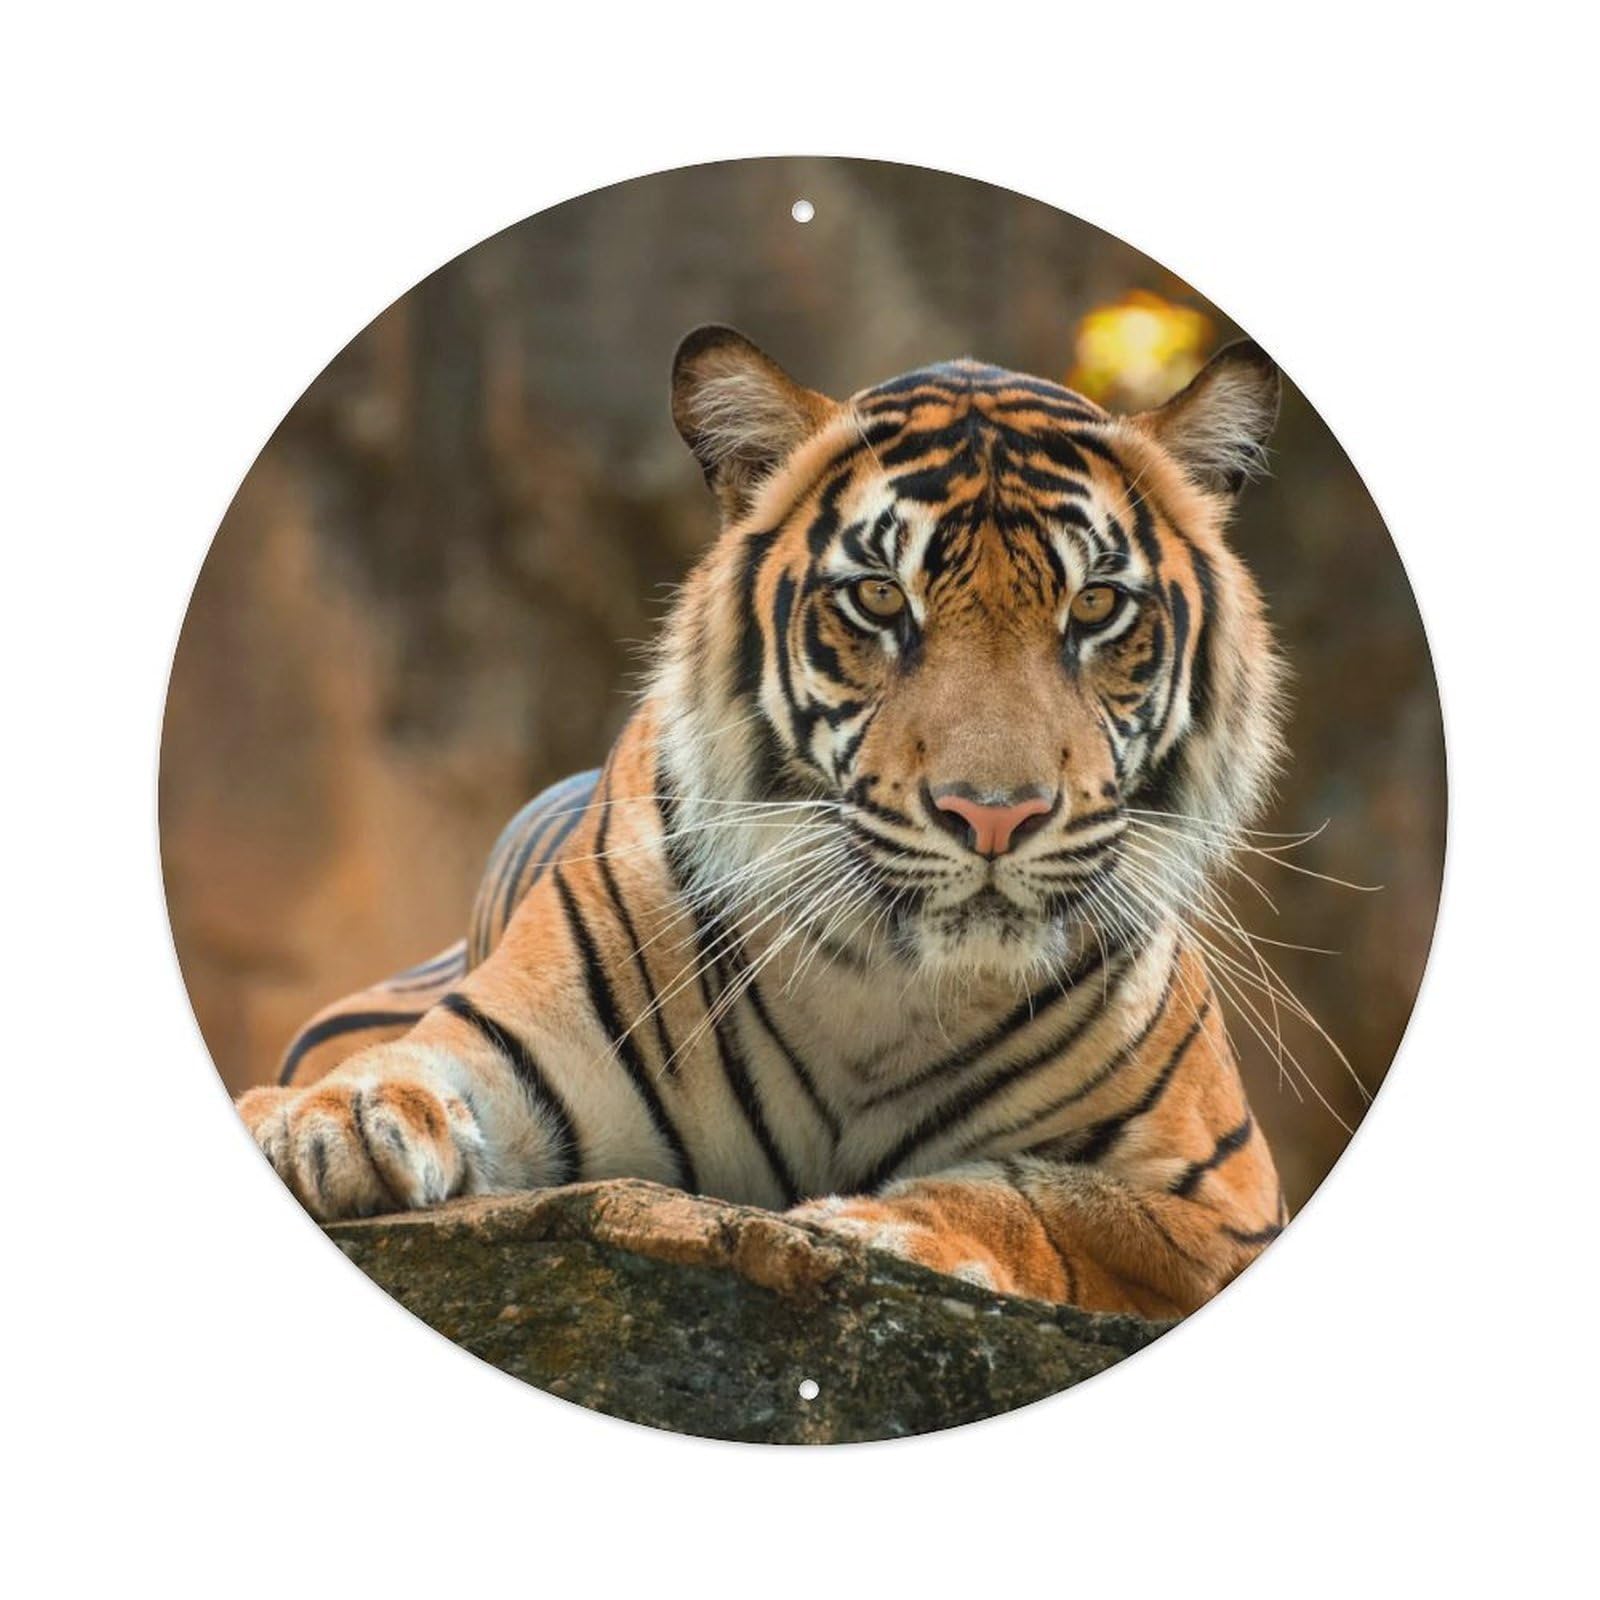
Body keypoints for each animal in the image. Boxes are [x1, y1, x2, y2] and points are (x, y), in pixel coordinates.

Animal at [237, 323, 1291, 1318]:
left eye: (1097, 606)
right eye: (879, 597)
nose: (995, 817)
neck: (887, 991)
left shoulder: (1224, 1205)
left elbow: (1051, 1202)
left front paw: (879, 1227)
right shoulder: (510, 1046)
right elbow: (410, 1066)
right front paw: (333, 1122)